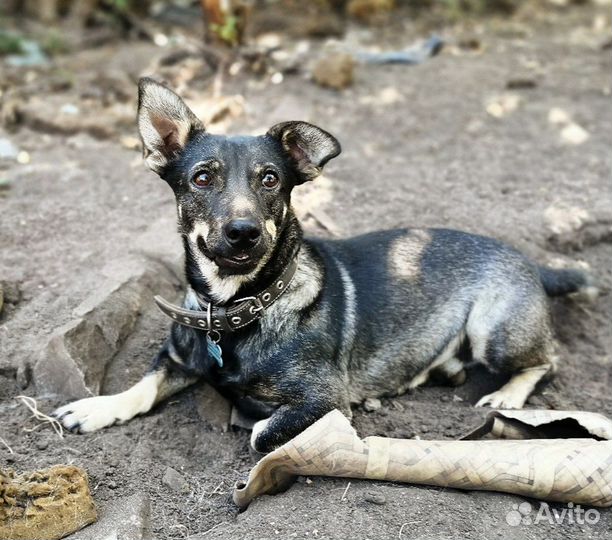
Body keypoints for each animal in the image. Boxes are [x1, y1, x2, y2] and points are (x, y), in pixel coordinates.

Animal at [52, 78, 596, 454]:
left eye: (270, 179)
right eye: (202, 178)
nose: (244, 232)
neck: (238, 307)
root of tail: (527, 260)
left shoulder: (324, 401)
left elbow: (261, 432)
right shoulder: (177, 359)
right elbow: (141, 387)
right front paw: (97, 408)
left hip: (493, 331)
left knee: (548, 359)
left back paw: (506, 396)